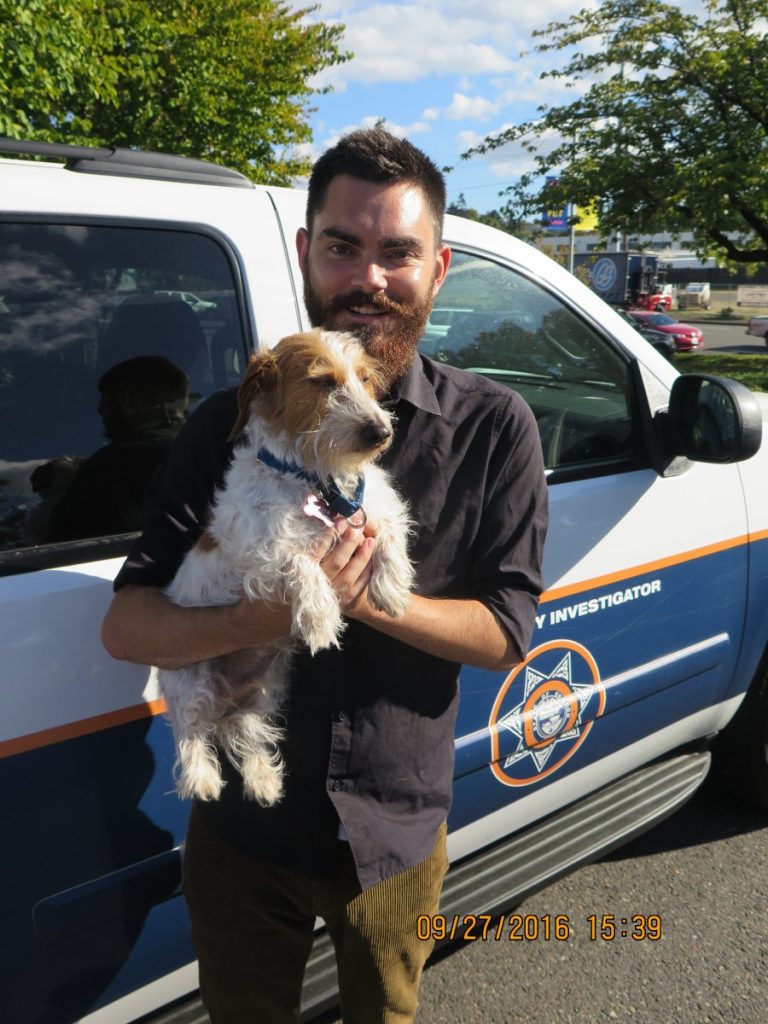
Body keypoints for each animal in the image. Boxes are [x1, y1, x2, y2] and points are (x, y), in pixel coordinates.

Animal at [157, 331, 415, 802]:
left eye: (365, 379)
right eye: (323, 381)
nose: (381, 431)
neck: (315, 480)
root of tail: (226, 699)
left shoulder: (373, 510)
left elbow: (388, 533)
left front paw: (391, 589)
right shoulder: (261, 552)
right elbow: (298, 561)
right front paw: (320, 617)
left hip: (263, 689)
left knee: (247, 731)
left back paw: (263, 780)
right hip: (192, 682)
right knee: (191, 732)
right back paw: (201, 778)